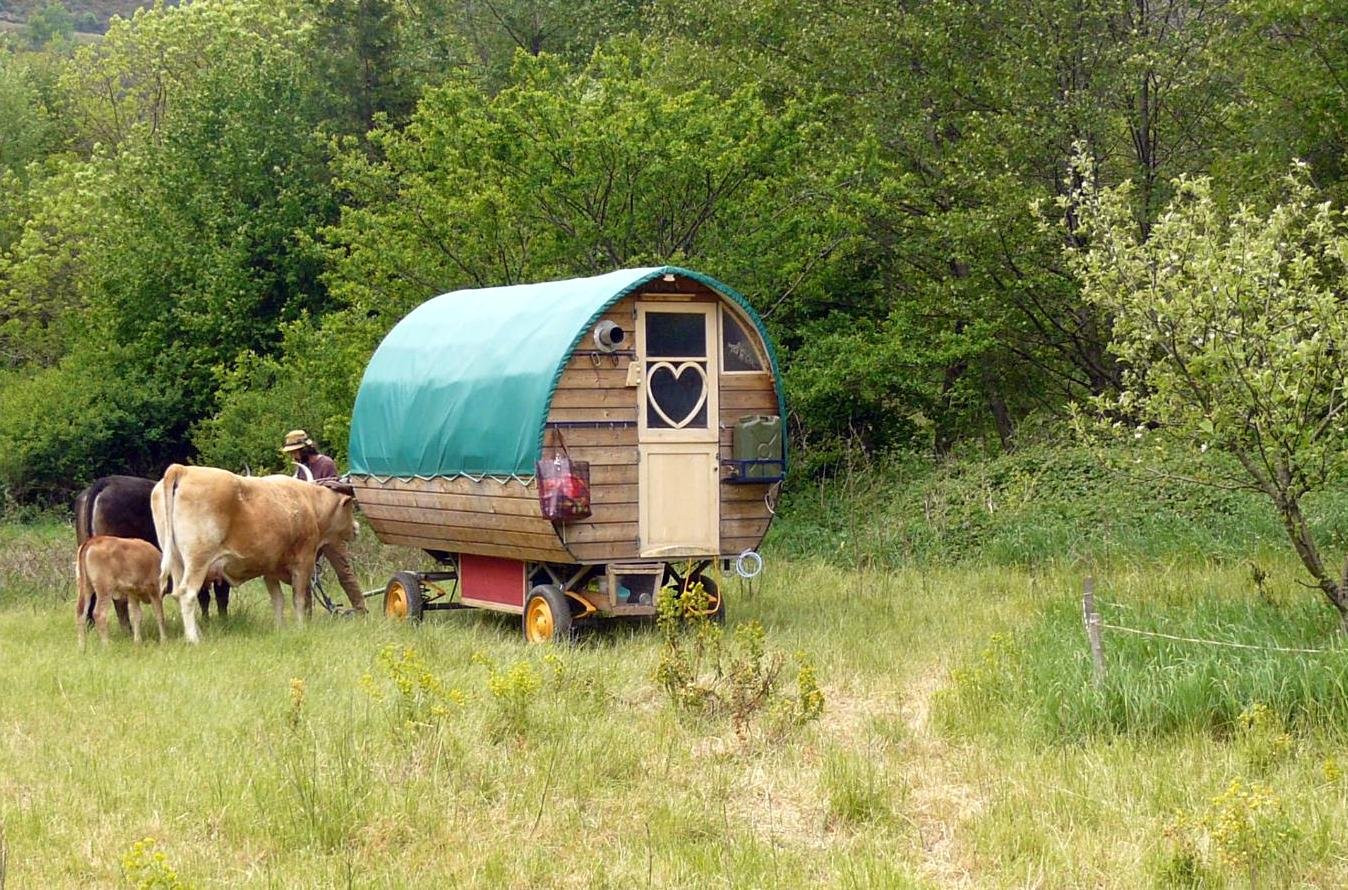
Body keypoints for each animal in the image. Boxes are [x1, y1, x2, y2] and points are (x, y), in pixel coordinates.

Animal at [74, 475, 230, 627]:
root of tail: (106, 481)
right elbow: (220, 596)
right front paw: (222, 621)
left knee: (89, 600)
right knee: (119, 601)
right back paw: (127, 630)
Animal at [151, 464, 358, 644]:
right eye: (349, 508)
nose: (357, 527)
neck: (309, 502)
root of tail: (182, 469)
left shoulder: (270, 568)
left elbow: (278, 600)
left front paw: (280, 628)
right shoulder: (304, 561)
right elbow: (299, 599)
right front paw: (301, 627)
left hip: (177, 562)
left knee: (179, 594)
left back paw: (197, 633)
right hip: (198, 560)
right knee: (187, 594)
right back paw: (194, 639)